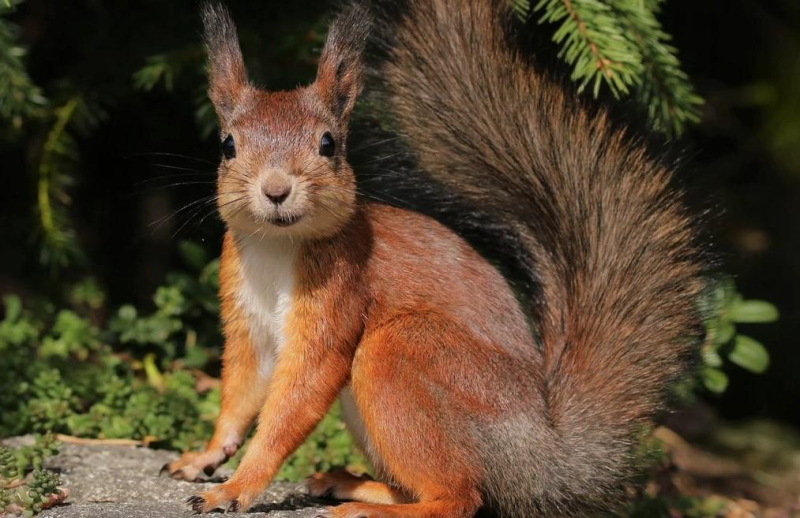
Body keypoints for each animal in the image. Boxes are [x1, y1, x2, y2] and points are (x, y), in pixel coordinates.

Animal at [162, 1, 708, 518]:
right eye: (228, 145)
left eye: (328, 144)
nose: (276, 190)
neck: (278, 247)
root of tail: (544, 456)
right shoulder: (247, 321)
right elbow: (240, 393)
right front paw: (205, 457)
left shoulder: (338, 295)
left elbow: (296, 399)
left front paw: (236, 487)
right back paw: (353, 484)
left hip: (406, 354)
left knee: (459, 496)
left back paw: (367, 507)